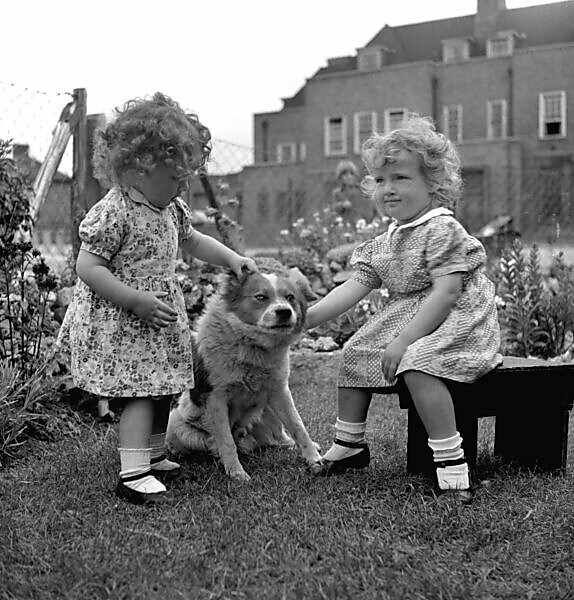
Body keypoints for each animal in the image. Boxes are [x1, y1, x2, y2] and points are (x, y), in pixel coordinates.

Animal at [166, 258, 324, 482]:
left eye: (290, 297)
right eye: (260, 297)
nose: (284, 312)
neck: (253, 348)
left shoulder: (279, 391)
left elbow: (298, 427)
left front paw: (314, 459)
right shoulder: (215, 399)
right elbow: (226, 442)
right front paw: (236, 473)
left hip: (268, 409)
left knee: (276, 437)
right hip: (179, 426)